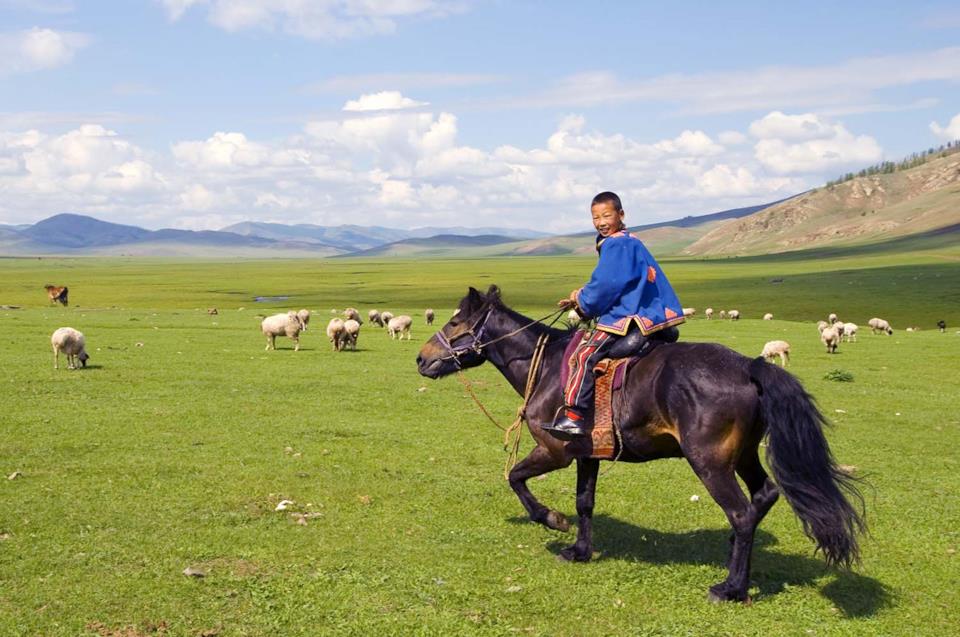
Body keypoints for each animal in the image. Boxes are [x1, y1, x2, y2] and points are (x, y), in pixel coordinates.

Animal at [416, 286, 868, 604]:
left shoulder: (555, 451)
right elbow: (585, 502)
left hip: (709, 462)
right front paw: (580, 550)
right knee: (765, 495)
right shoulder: (587, 454)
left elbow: (516, 477)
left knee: (741, 513)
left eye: (456, 324)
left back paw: (731, 588)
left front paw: (552, 520)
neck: (545, 367)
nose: (421, 359)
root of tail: (749, 366)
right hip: (742, 455)